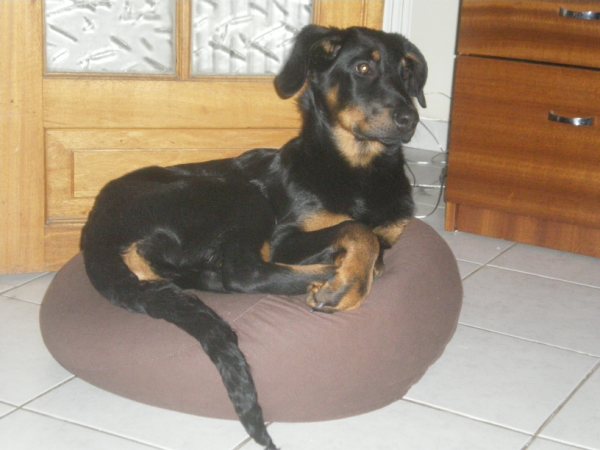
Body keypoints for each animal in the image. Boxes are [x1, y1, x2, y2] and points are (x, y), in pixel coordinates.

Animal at [81, 25, 427, 450]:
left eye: (407, 72)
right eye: (363, 67)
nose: (410, 118)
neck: (362, 168)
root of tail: (96, 230)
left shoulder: (392, 232)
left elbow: (376, 244)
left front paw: (352, 272)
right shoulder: (285, 237)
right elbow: (358, 230)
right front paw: (344, 286)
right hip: (241, 195)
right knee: (245, 272)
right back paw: (324, 275)